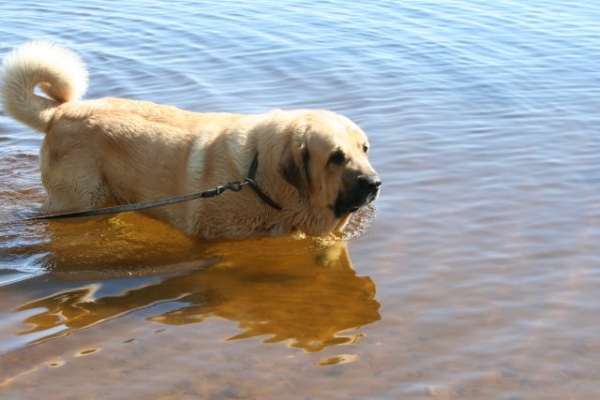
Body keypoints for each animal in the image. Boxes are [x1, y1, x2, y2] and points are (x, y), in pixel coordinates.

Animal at [1, 40, 380, 238]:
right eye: (336, 157)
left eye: (364, 149)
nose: (375, 183)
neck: (259, 176)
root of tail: (60, 112)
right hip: (77, 201)